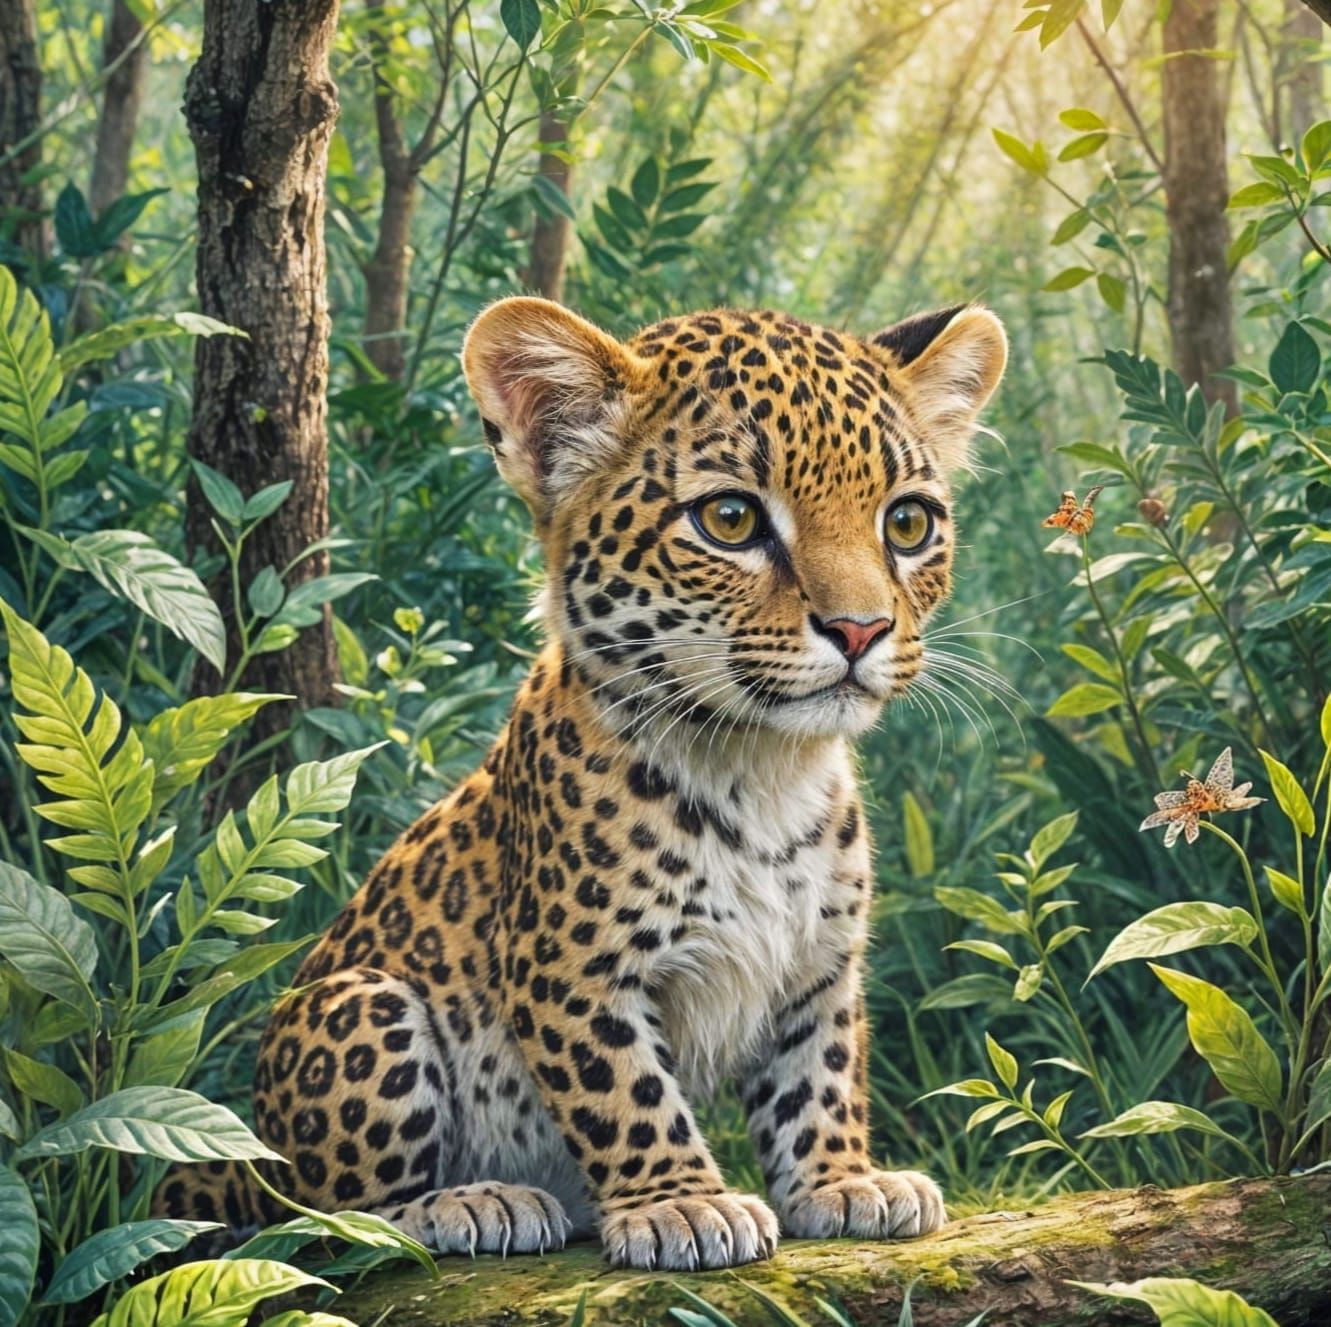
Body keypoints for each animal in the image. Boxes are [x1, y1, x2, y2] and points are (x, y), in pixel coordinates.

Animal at [158, 294, 1007, 1271]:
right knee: (323, 1217)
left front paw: (843, 1181)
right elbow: (625, 1089)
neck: (762, 768)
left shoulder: (821, 968)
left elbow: (820, 1072)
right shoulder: (572, 969)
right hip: (357, 1003)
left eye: (907, 524)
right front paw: (682, 1204)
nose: (861, 628)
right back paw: (474, 1202)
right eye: (729, 519)